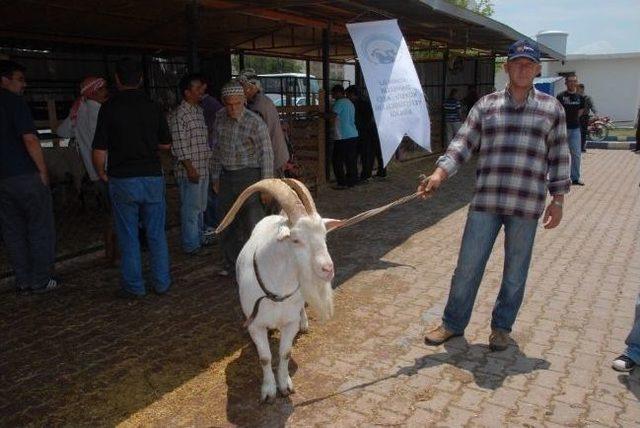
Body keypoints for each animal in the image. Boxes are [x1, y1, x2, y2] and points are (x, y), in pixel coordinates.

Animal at [216, 179, 340, 402]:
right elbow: (265, 358)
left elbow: (285, 353)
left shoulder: (289, 323)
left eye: (324, 235)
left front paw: (285, 385)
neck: (275, 293)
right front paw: (268, 391)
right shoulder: (255, 325)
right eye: (296, 239)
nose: (327, 269)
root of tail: (278, 217)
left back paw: (304, 322)